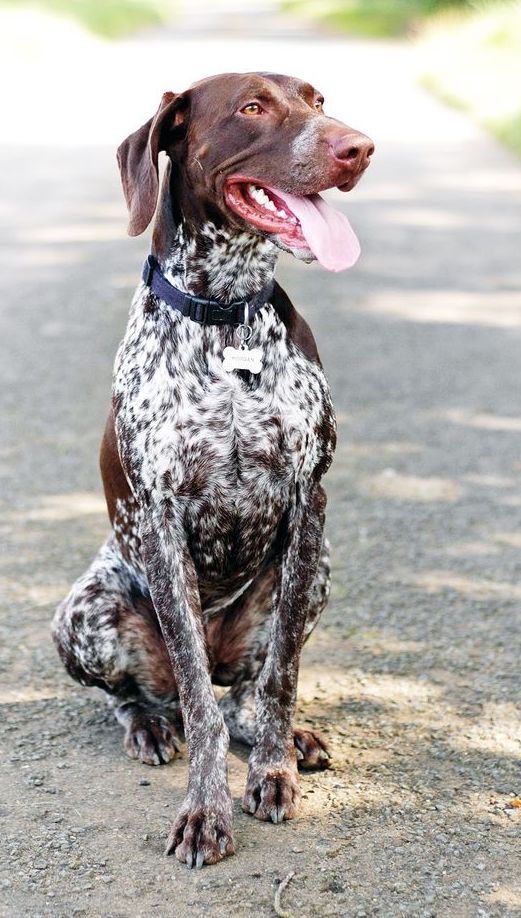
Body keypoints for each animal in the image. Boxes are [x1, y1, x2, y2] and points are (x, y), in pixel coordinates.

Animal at [51, 72, 370, 868]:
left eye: (318, 101)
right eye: (251, 108)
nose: (359, 148)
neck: (226, 318)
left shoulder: (308, 505)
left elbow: (282, 673)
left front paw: (274, 769)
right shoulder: (161, 522)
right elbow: (197, 702)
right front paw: (204, 809)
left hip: (315, 571)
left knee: (244, 690)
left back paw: (272, 731)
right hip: (84, 610)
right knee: (155, 695)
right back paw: (148, 725)